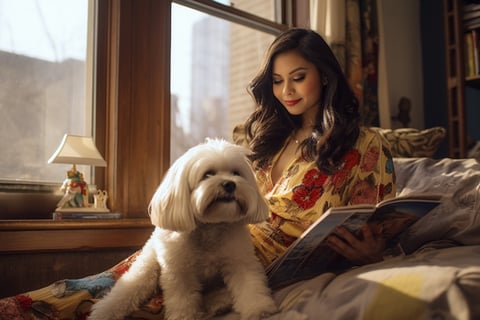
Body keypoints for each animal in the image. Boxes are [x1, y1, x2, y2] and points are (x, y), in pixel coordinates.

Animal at [88, 139, 278, 320]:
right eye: (207, 174)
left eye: (236, 173)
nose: (230, 184)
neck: (210, 227)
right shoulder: (179, 272)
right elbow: (182, 300)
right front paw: (184, 316)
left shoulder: (240, 261)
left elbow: (250, 286)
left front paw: (259, 308)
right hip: (146, 268)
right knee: (127, 290)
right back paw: (104, 311)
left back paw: (217, 303)